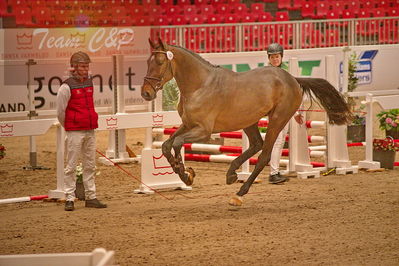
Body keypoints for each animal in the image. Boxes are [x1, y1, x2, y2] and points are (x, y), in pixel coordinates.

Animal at [141, 38, 354, 207]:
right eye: (148, 62)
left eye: (160, 62)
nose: (146, 93)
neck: (200, 86)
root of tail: (292, 78)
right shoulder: (187, 125)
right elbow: (166, 145)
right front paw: (183, 173)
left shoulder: (203, 130)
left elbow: (176, 143)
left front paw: (185, 174)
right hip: (249, 121)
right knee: (256, 145)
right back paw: (231, 173)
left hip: (277, 120)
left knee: (264, 155)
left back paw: (239, 193)